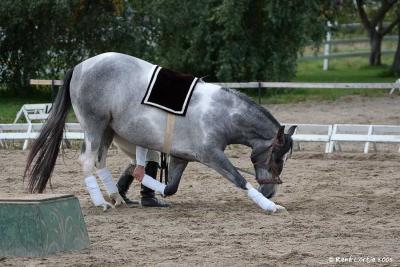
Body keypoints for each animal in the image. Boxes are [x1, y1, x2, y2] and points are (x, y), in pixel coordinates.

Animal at [24, 52, 294, 214]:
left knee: (100, 161)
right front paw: (270, 205)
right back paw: (101, 202)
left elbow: (171, 186)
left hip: (108, 130)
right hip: (94, 126)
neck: (222, 114)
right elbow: (239, 179)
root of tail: (81, 65)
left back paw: (117, 196)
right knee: (88, 160)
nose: (270, 191)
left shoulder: (181, 156)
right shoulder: (211, 156)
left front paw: (146, 181)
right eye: (277, 157)